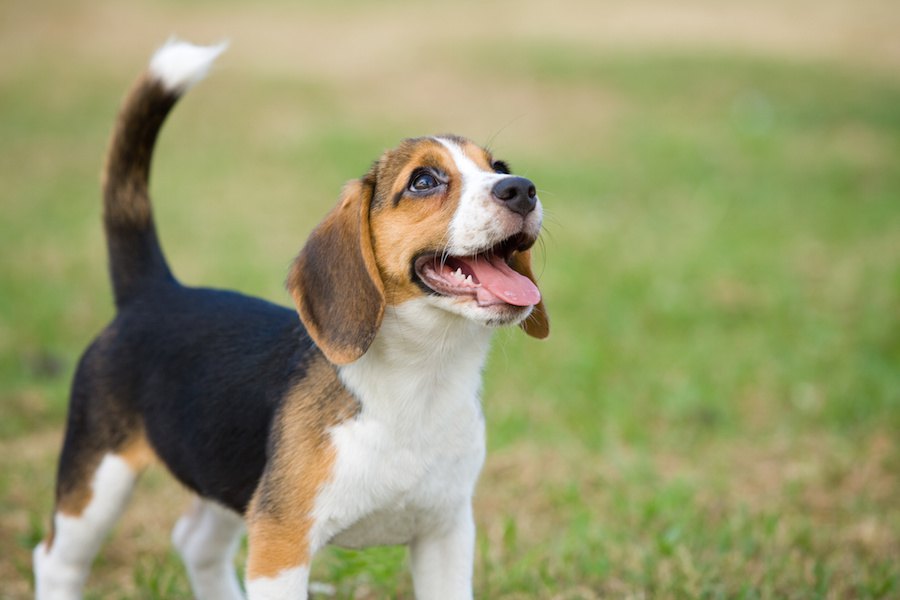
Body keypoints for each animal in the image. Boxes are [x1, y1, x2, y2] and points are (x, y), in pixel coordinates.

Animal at [31, 39, 548, 596]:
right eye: (424, 181)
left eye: (499, 165)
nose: (521, 188)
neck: (423, 377)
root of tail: (153, 291)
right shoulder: (280, 546)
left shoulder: (446, 533)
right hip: (97, 483)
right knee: (56, 561)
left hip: (228, 474)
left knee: (195, 544)